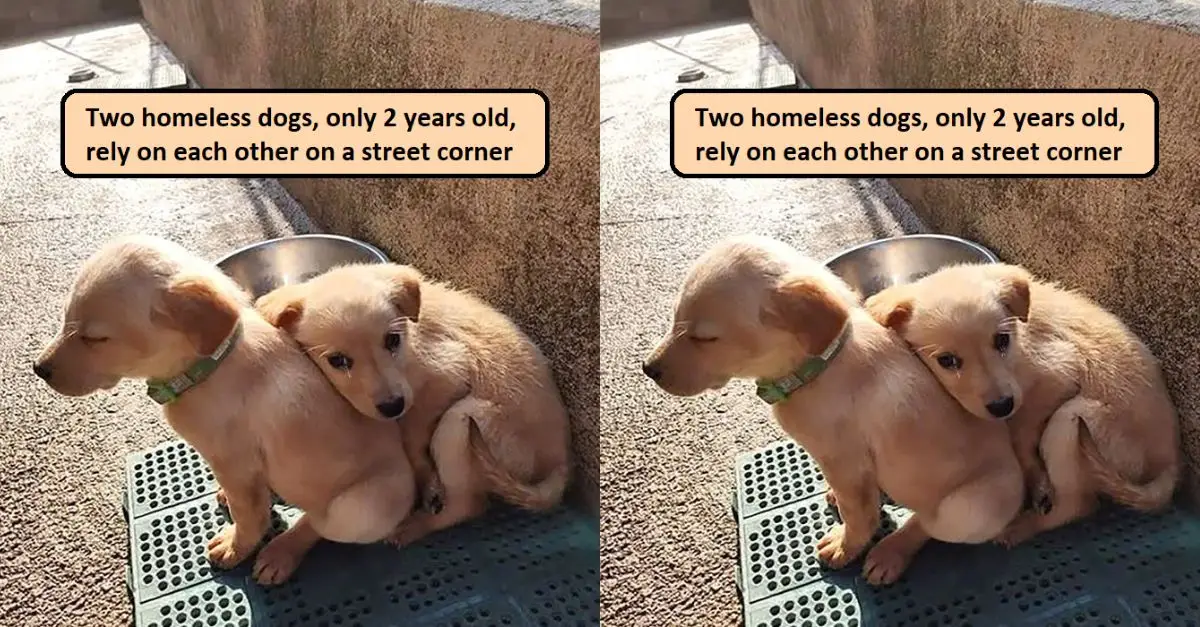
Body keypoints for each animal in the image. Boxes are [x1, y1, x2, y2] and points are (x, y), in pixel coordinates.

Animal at [34, 234, 417, 581]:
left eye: (95, 338)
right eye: (65, 318)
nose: (38, 369)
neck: (211, 367)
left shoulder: (234, 464)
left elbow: (250, 517)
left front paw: (236, 548)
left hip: (361, 507)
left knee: (318, 523)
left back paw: (282, 552)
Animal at [253, 260, 571, 542]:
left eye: (392, 340)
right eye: (338, 361)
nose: (393, 406)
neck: (409, 346)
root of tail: (560, 458)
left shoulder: (449, 373)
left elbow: (412, 435)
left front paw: (426, 479)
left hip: (460, 422)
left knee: (468, 505)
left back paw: (414, 526)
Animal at [643, 235, 1027, 586]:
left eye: (705, 338)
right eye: (676, 318)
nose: (648, 369)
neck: (821, 367)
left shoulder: (844, 462)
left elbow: (858, 517)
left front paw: (846, 547)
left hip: (972, 506)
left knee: (927, 523)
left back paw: (892, 551)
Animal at [864, 260, 1180, 542]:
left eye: (1001, 340)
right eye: (947, 361)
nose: (1002, 405)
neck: (1019, 346)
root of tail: (1169, 458)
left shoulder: (1059, 373)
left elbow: (1021, 433)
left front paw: (1035, 478)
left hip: (1072, 420)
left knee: (1078, 504)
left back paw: (1021, 528)